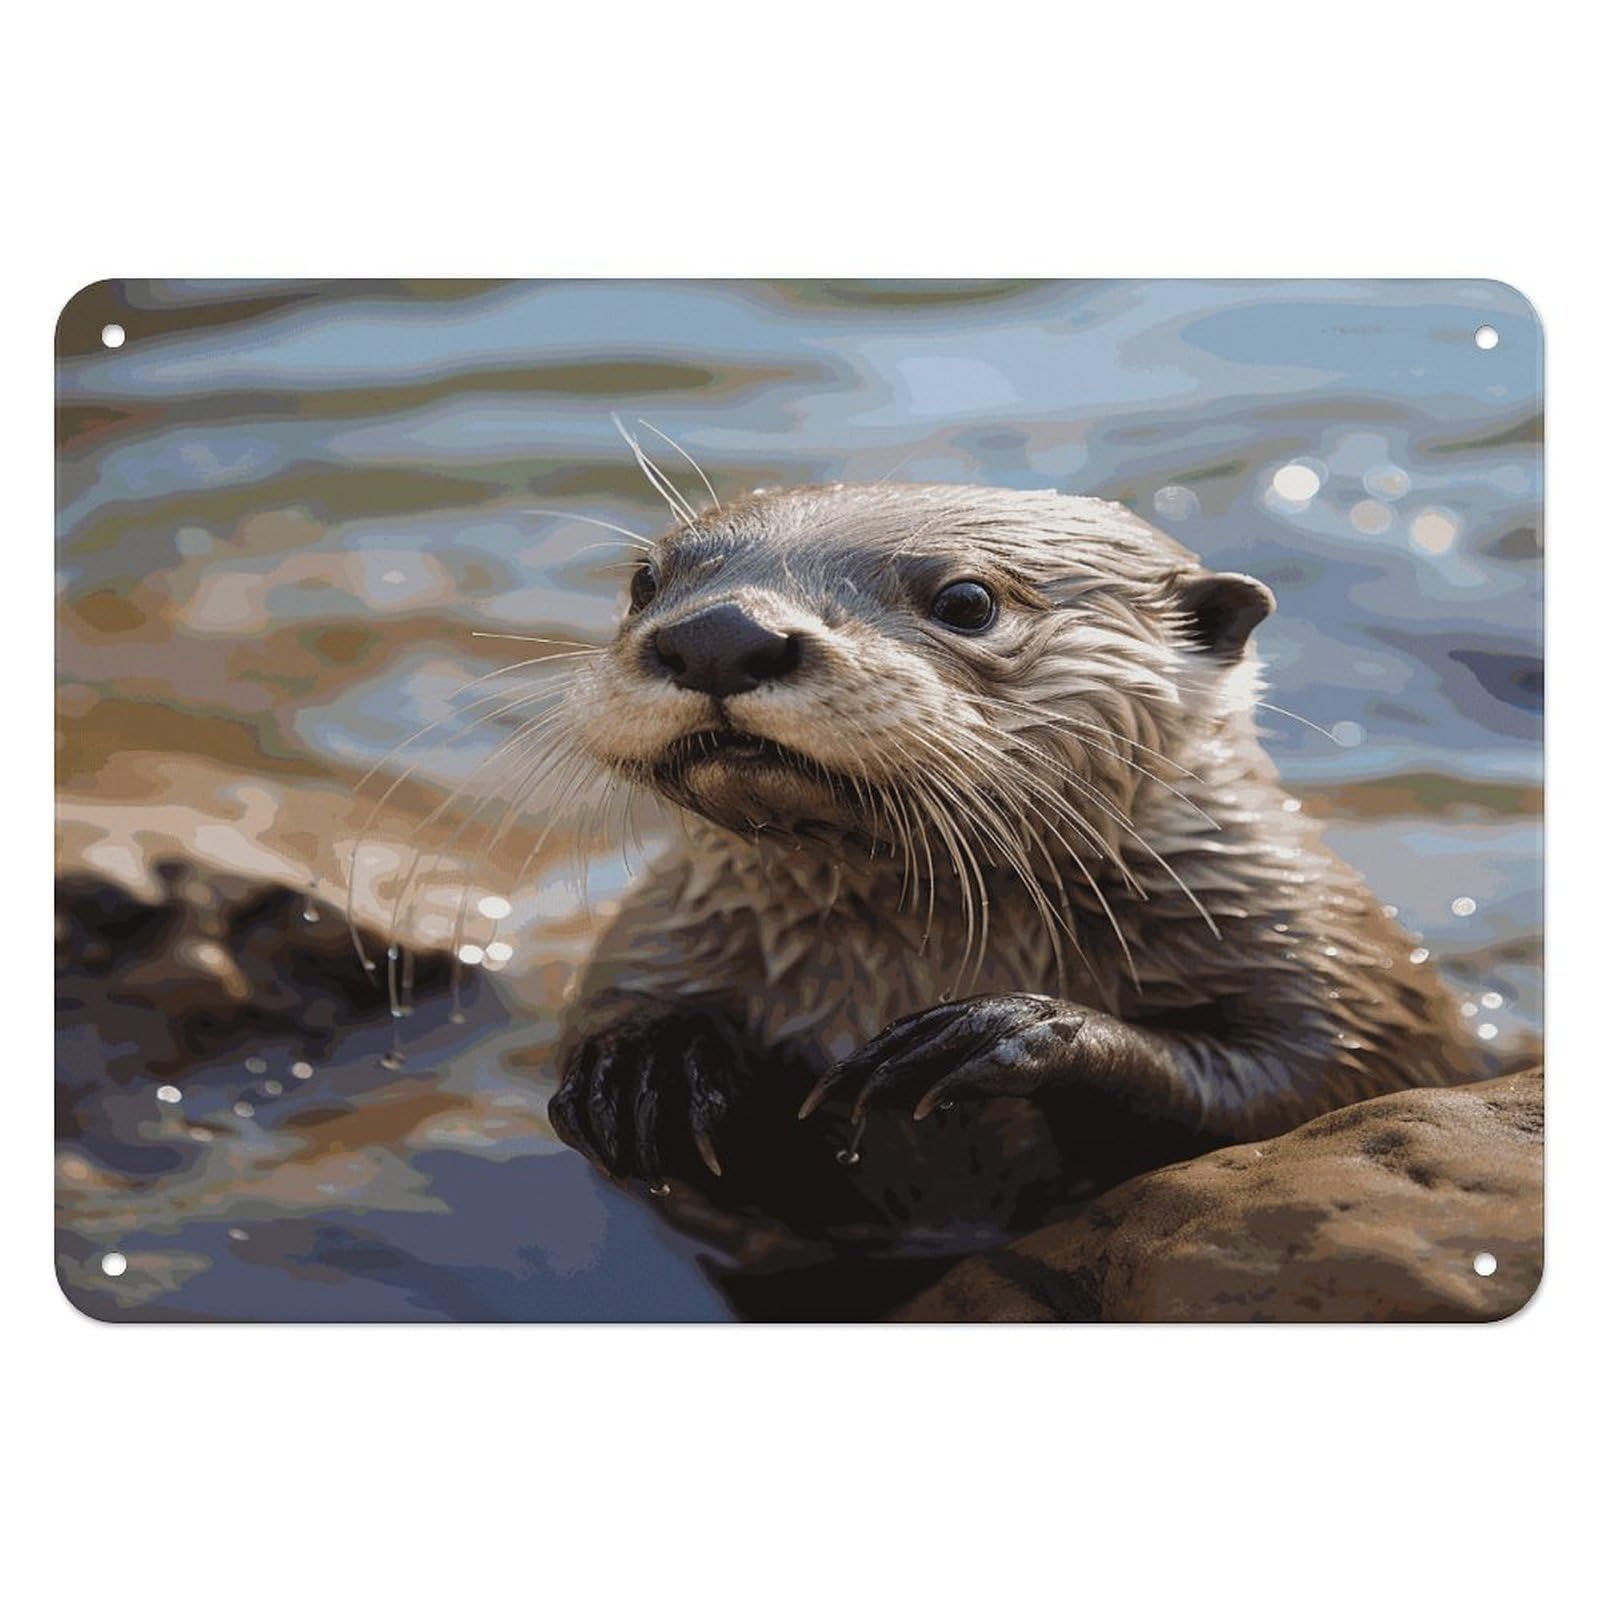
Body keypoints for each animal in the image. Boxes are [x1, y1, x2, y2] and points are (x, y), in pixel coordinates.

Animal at [542, 482, 1485, 1280]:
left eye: (967, 601)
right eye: (645, 580)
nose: (719, 635)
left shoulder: (1327, 955)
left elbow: (1308, 1086)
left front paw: (1009, 1032)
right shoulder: (654, 936)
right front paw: (651, 1067)